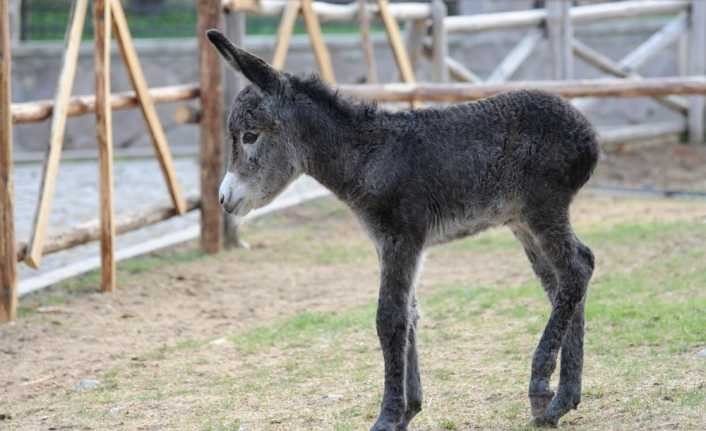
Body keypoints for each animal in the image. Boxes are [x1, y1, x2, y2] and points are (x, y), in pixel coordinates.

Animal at [206, 28, 596, 430]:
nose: (224, 198)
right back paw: (562, 400)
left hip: (543, 208)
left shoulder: (402, 238)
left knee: (577, 269)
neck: (369, 157)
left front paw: (388, 416)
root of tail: (586, 131)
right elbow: (409, 315)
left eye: (249, 135)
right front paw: (409, 410)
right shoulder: (389, 243)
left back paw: (541, 385)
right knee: (564, 280)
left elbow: (389, 318)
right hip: (523, 222)